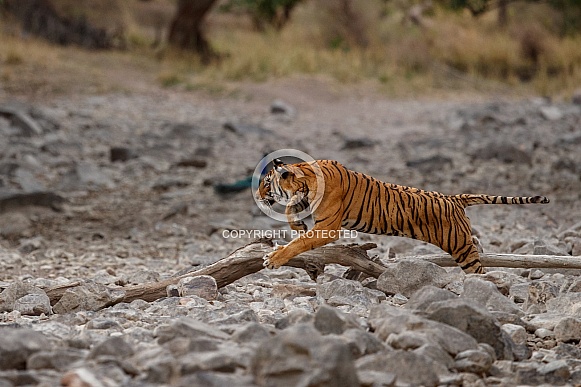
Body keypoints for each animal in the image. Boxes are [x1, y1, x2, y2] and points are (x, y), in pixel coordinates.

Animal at [255, 159, 548, 274]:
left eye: (266, 183)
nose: (257, 195)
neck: (307, 179)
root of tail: (454, 198)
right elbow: (294, 216)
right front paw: (296, 225)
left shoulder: (329, 227)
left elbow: (299, 244)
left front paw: (274, 258)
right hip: (464, 242)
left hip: (460, 247)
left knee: (478, 269)